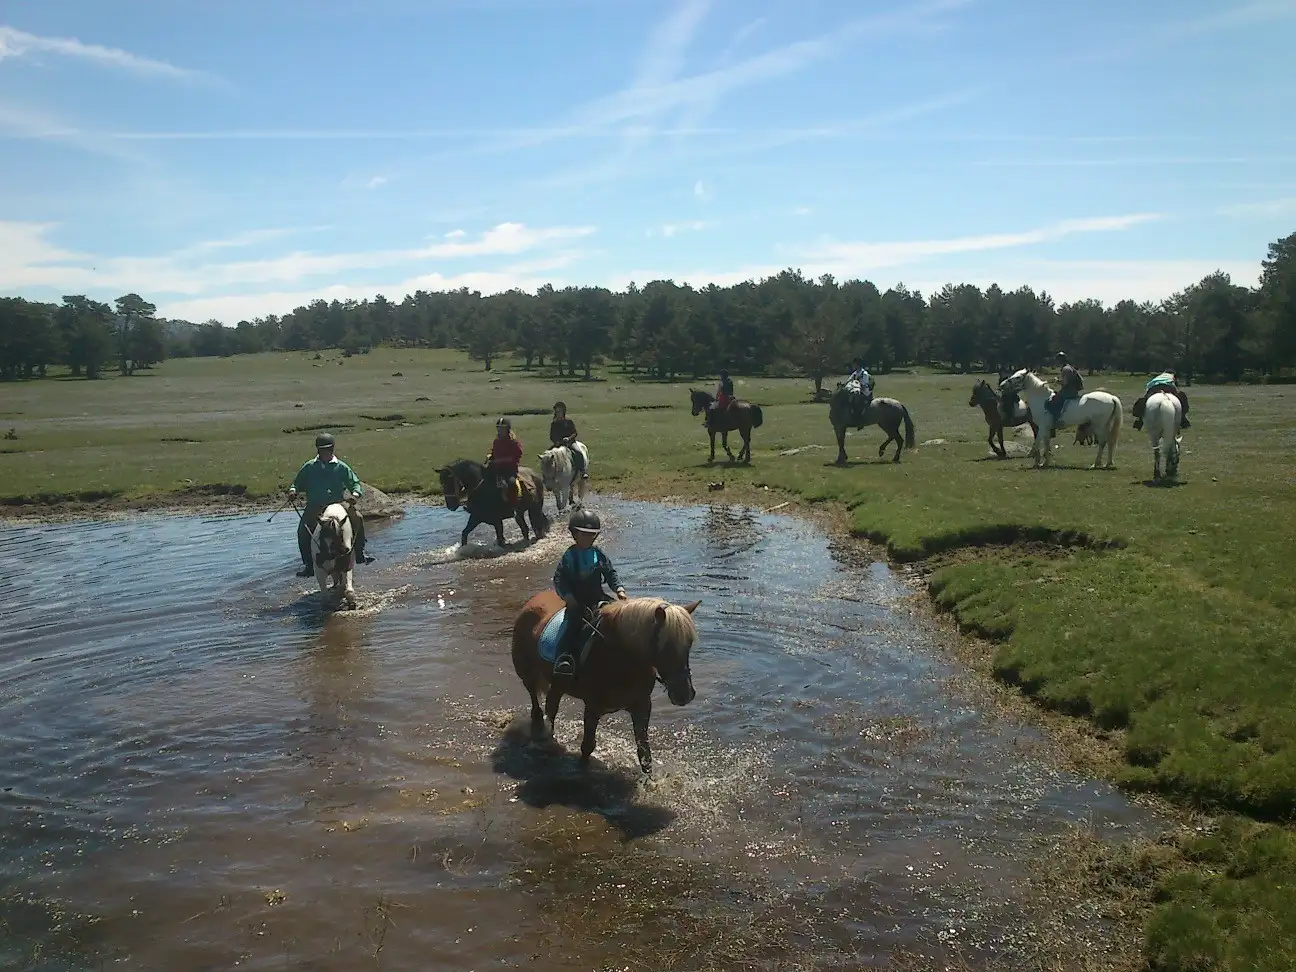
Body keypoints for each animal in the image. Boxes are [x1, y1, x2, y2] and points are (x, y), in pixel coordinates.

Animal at [510, 593, 705, 777]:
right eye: (666, 646)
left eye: (689, 644)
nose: (685, 695)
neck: (618, 655)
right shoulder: (593, 707)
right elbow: (587, 746)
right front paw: (582, 772)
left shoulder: (642, 705)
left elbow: (645, 753)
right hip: (527, 673)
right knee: (536, 703)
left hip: (558, 684)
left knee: (551, 706)